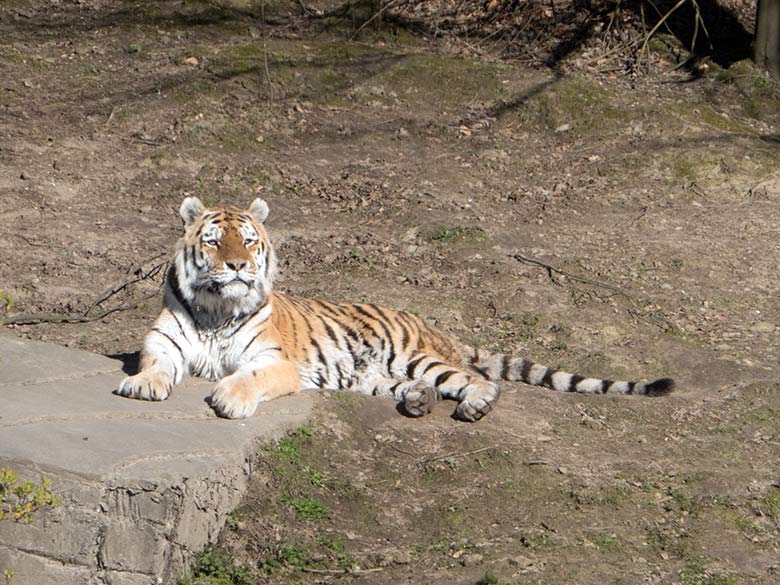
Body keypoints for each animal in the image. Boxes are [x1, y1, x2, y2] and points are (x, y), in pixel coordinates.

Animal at [114, 196, 672, 420]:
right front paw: (142, 385)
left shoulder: (274, 363)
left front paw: (229, 398)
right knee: (420, 388)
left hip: (414, 355)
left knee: (476, 380)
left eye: (248, 241)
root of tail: (431, 324)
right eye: (214, 240)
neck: (216, 310)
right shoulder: (165, 345)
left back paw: (472, 404)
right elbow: (157, 364)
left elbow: (249, 378)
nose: (236, 266)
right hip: (371, 375)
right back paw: (420, 401)